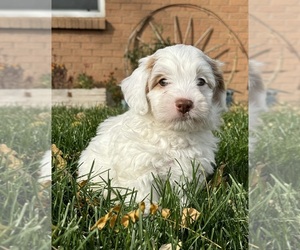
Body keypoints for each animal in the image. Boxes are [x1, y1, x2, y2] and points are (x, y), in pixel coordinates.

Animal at [77, 44, 225, 203]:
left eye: (201, 81)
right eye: (162, 82)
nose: (184, 104)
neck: (175, 135)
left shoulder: (191, 170)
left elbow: (183, 194)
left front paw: (184, 207)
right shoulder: (141, 169)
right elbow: (144, 195)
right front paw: (148, 209)